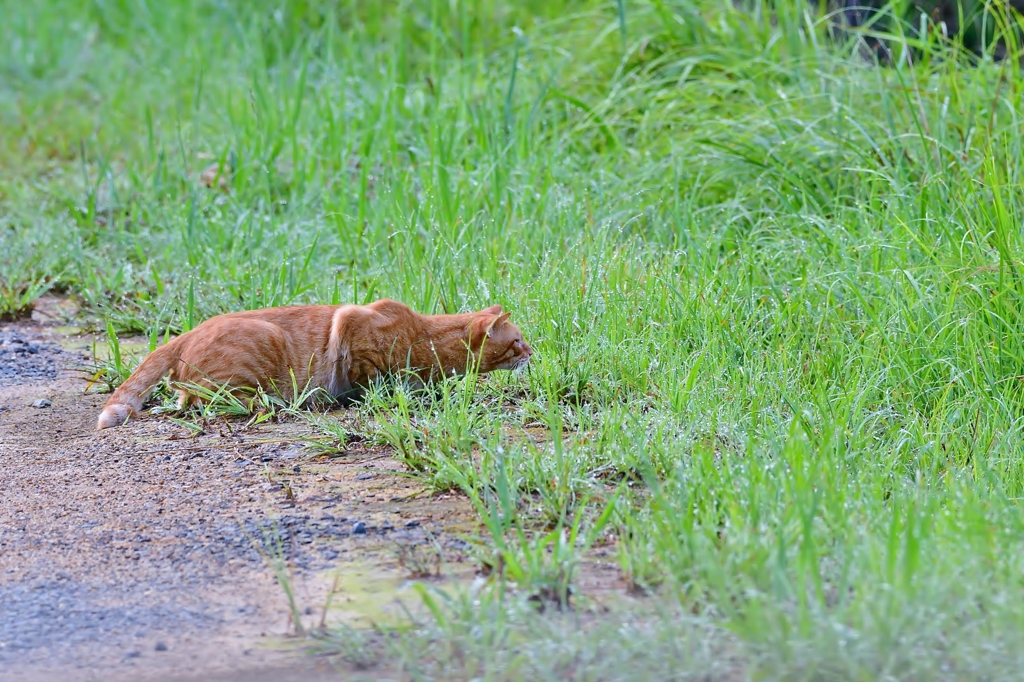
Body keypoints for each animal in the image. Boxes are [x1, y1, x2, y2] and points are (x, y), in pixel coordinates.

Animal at [94, 294, 536, 428]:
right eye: (518, 342)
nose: (533, 352)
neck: (425, 337)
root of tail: (187, 331)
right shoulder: (352, 328)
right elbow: (369, 376)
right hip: (261, 349)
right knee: (209, 400)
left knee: (186, 397)